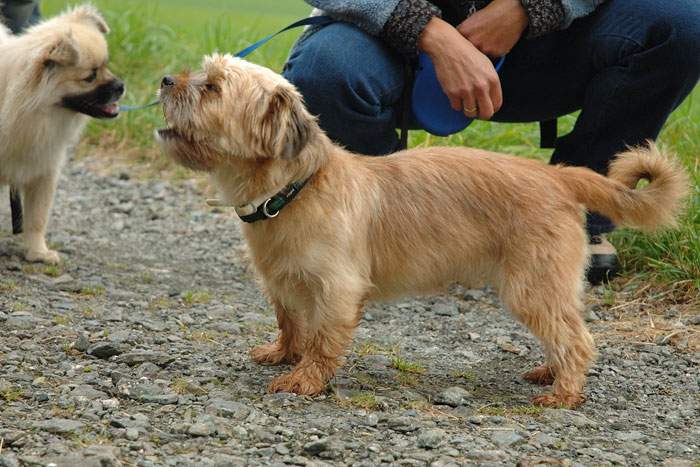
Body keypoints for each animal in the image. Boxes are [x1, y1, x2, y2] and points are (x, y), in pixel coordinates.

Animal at [156, 53, 688, 408]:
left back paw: (564, 393)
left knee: (576, 340)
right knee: (565, 333)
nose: (163, 79)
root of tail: (556, 175)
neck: (295, 189)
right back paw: (549, 373)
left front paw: (304, 381)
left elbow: (323, 340)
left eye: (212, 87)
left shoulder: (336, 289)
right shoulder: (285, 284)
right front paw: (285, 355)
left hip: (531, 287)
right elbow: (292, 324)